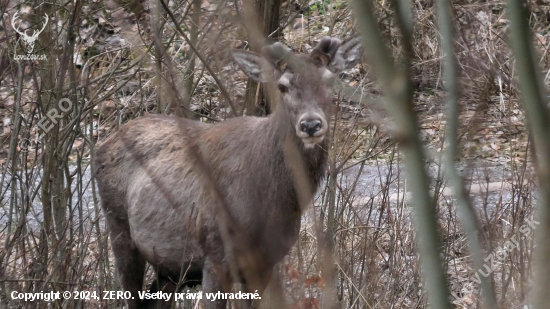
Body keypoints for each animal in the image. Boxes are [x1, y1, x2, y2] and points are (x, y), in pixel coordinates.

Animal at [92, 35, 364, 306]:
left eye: (330, 80)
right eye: (282, 86)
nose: (310, 124)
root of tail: (104, 142)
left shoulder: (264, 263)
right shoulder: (215, 253)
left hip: (169, 266)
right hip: (119, 226)